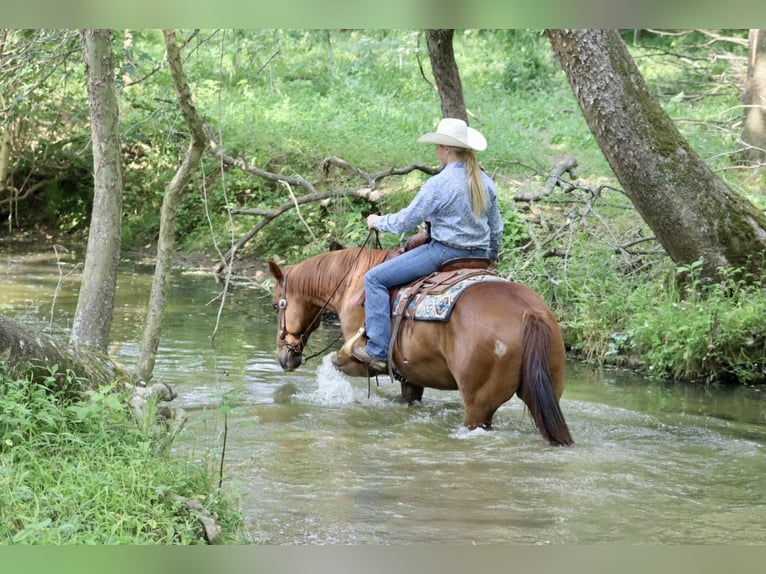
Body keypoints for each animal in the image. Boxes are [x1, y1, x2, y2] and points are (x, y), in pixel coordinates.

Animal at [270, 245, 576, 448]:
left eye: (275, 305)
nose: (285, 357)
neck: (353, 283)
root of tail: (529, 313)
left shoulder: (362, 363)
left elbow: (337, 363)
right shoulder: (411, 377)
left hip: (479, 405)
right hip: (546, 392)